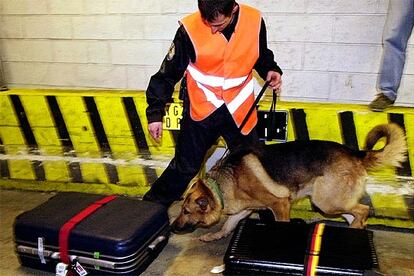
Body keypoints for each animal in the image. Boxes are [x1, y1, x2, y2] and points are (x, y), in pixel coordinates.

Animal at [171, 124, 408, 240]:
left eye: (185, 211)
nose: (172, 228)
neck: (222, 186)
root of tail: (356, 153)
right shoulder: (244, 210)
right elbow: (228, 225)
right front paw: (214, 236)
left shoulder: (280, 204)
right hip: (333, 202)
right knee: (355, 215)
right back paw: (354, 230)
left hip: (325, 202)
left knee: (363, 210)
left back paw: (358, 226)